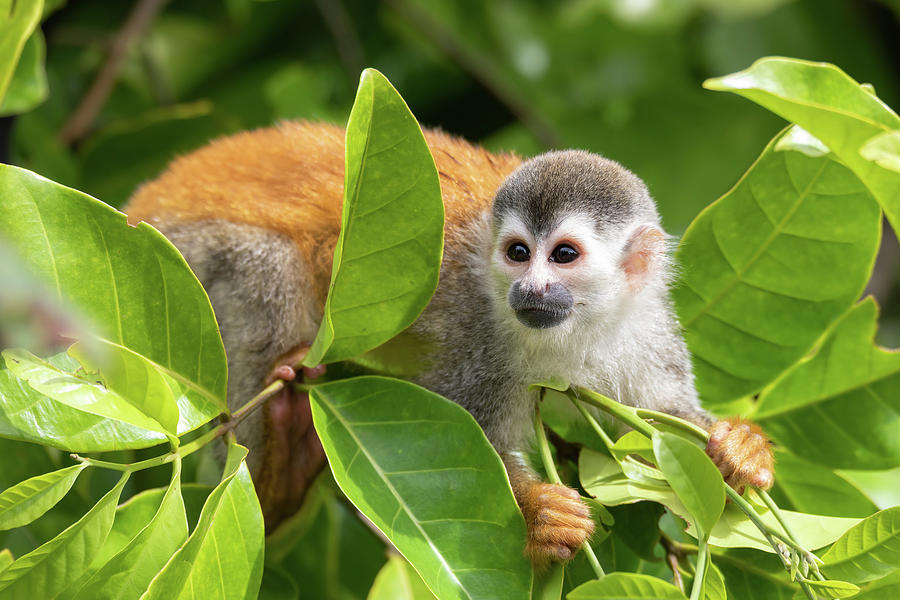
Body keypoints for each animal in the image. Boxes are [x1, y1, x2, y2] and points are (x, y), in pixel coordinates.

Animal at [126, 120, 772, 568]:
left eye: (563, 255)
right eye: (517, 253)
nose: (528, 289)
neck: (577, 327)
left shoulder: (648, 328)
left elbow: (661, 426)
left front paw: (738, 447)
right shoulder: (477, 329)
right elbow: (463, 429)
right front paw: (539, 516)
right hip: (186, 254)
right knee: (269, 270)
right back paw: (276, 479)